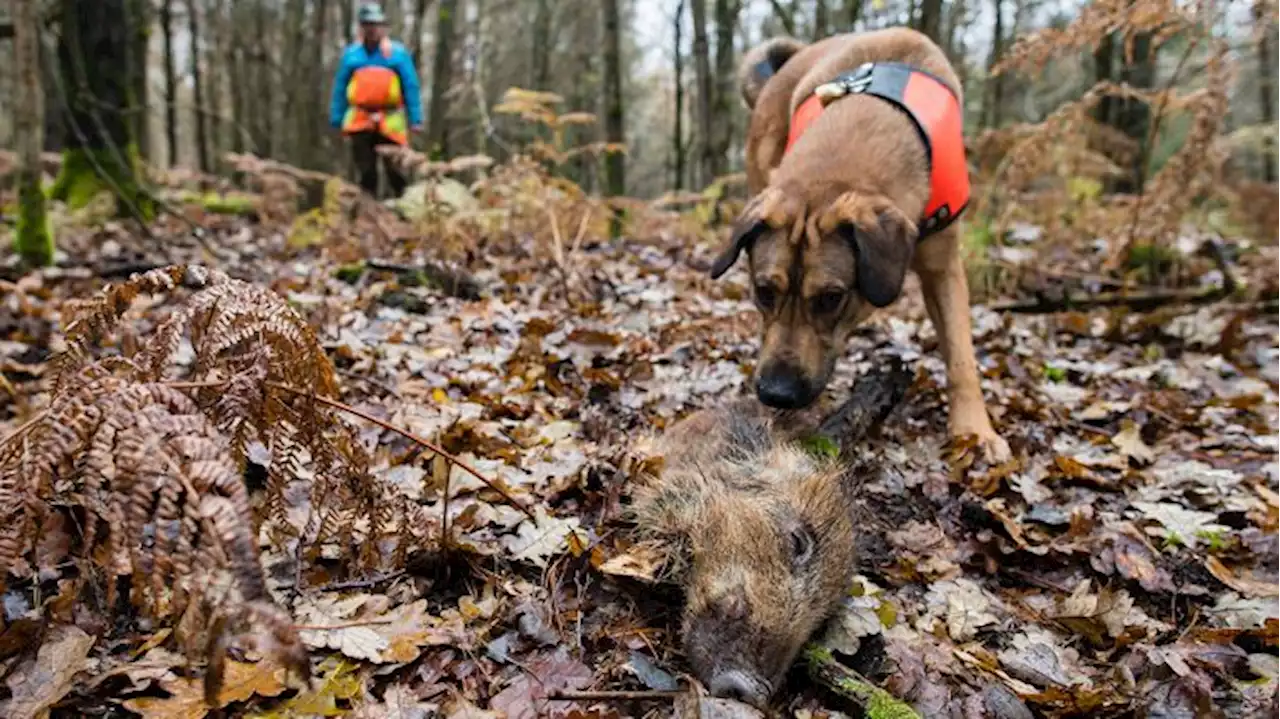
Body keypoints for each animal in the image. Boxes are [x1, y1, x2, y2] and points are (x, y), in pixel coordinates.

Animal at [711, 26, 1008, 458]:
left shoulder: (943, 266)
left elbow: (960, 355)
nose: (776, 394)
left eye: (831, 298)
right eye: (763, 291)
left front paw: (974, 431)